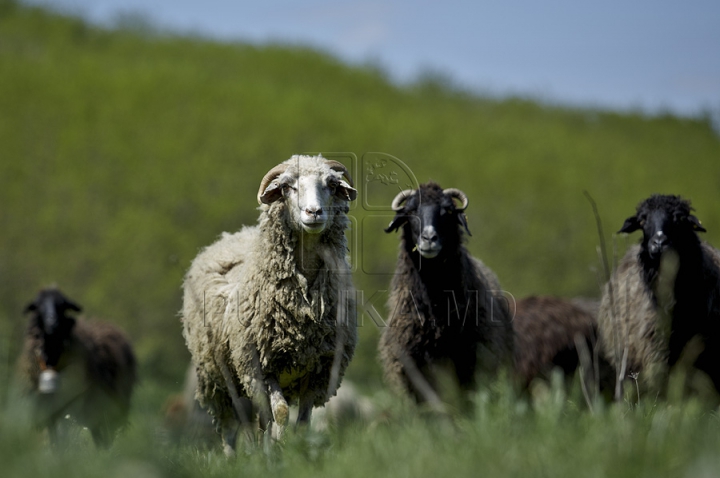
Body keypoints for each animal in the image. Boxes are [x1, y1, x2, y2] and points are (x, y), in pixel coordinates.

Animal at [181, 155, 358, 454]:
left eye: (332, 185)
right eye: (287, 187)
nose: (314, 212)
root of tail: (230, 236)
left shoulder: (317, 370)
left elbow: (302, 421)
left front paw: (295, 451)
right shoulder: (263, 367)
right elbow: (282, 413)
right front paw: (281, 451)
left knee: (262, 421)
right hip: (219, 379)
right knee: (231, 425)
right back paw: (235, 457)